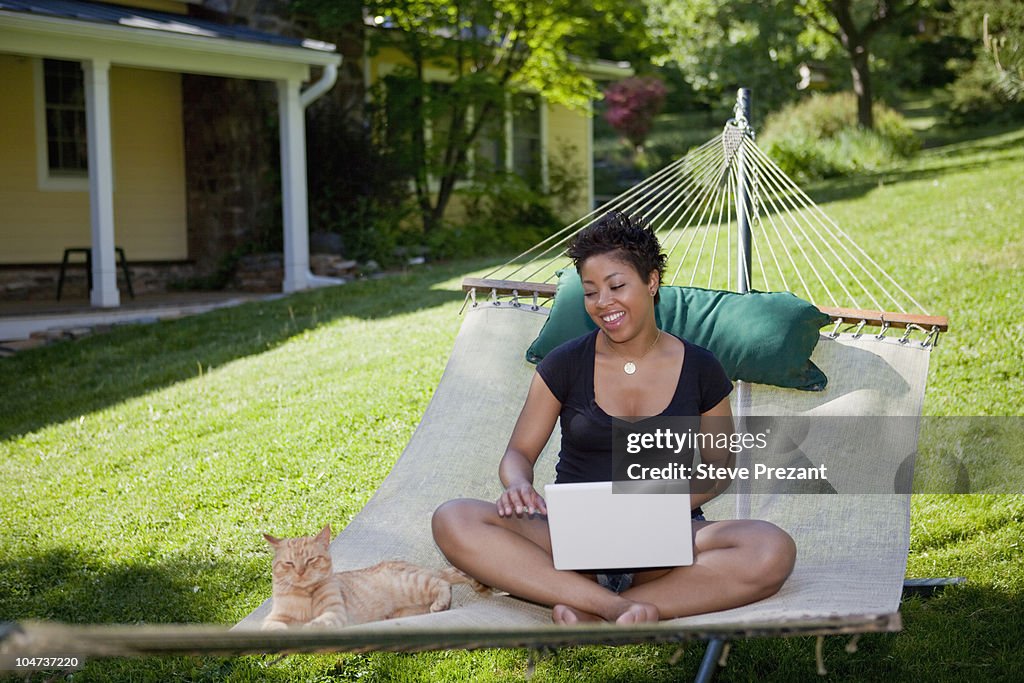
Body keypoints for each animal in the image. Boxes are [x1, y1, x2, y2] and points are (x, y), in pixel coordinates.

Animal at [262, 524, 489, 630]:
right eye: (289, 563)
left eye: (311, 560)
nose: (300, 572)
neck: (304, 594)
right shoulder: (275, 617)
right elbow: (273, 626)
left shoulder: (334, 612)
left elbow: (322, 620)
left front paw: (310, 626)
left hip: (414, 584)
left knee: (442, 583)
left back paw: (440, 604)